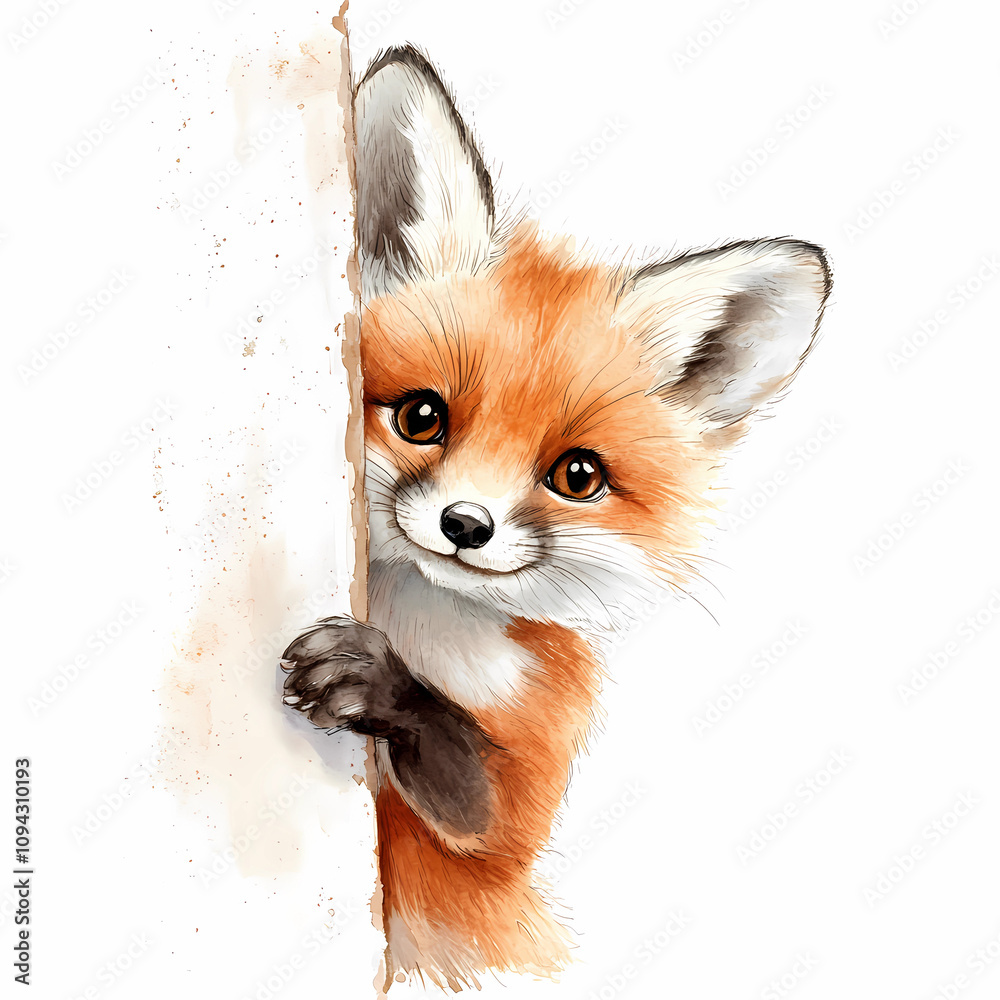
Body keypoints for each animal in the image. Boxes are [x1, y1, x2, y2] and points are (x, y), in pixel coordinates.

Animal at [280, 45, 832, 991]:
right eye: (421, 417)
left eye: (577, 476)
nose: (466, 525)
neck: (428, 629)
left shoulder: (525, 782)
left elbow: (473, 788)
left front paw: (382, 682)